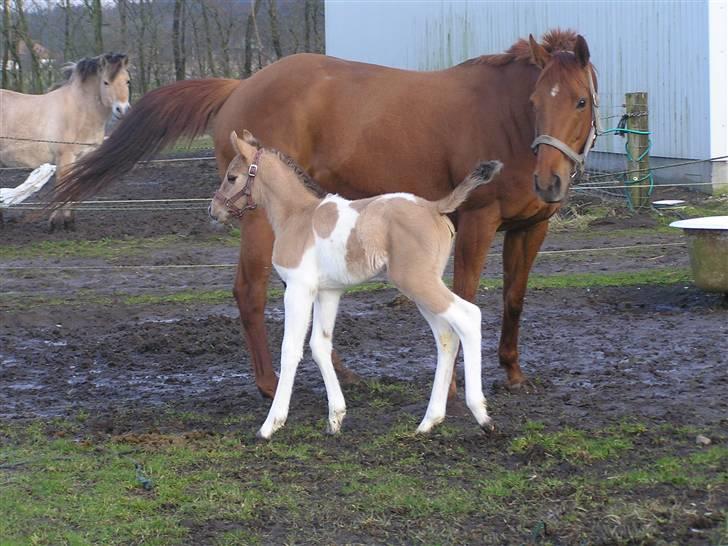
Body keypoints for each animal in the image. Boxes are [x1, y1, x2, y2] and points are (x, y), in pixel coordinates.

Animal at [1, 53, 132, 227]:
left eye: (127, 81)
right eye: (106, 82)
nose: (122, 110)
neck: (79, 111)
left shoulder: (83, 157)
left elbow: (74, 185)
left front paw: (69, 221)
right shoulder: (65, 157)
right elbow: (61, 186)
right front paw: (55, 222)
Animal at [49, 31, 596, 398]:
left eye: (579, 101)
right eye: (534, 99)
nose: (548, 181)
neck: (505, 119)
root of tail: (238, 86)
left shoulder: (531, 229)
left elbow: (514, 300)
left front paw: (514, 373)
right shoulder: (477, 224)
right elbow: (464, 297)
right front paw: (459, 382)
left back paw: (341, 373)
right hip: (260, 220)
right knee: (249, 292)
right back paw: (270, 384)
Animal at [210, 130, 504, 436]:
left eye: (232, 177)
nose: (213, 209)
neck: (297, 216)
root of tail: (434, 206)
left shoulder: (298, 289)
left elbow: (290, 349)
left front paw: (270, 425)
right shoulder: (327, 292)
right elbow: (320, 346)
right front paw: (335, 419)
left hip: (418, 282)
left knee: (469, 317)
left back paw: (482, 416)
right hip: (422, 286)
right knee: (446, 335)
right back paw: (428, 421)